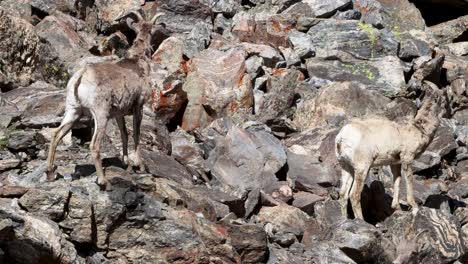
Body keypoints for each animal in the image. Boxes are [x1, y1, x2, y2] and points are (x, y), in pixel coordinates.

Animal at [46, 11, 166, 191]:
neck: (138, 61)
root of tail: (80, 77)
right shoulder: (138, 107)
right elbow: (136, 134)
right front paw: (139, 165)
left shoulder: (119, 114)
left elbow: (124, 133)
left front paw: (126, 163)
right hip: (100, 116)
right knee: (94, 145)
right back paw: (105, 182)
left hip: (73, 111)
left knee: (56, 135)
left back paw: (50, 174)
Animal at [334, 81, 444, 221]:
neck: (419, 129)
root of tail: (341, 138)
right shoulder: (407, 158)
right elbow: (409, 180)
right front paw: (414, 207)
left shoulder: (395, 163)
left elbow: (397, 180)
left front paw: (397, 208)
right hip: (362, 169)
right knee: (354, 195)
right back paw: (362, 221)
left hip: (346, 167)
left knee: (343, 194)